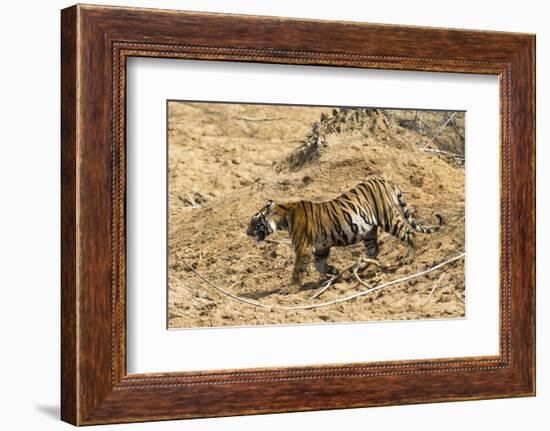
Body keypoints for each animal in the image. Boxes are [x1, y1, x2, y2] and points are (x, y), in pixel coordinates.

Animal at [246, 177, 444, 292]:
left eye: (254, 222)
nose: (246, 233)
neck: (284, 217)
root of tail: (387, 180)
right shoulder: (321, 248)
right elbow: (320, 266)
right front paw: (335, 273)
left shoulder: (303, 248)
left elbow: (297, 270)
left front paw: (290, 289)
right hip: (369, 231)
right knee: (374, 251)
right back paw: (359, 268)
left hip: (388, 219)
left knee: (409, 234)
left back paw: (409, 258)